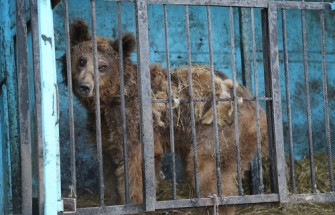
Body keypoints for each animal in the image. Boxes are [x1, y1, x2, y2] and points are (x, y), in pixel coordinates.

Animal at [61, 18, 270, 215]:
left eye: (103, 66)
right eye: (81, 60)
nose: (85, 86)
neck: (111, 99)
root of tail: (258, 108)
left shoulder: (133, 123)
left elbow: (135, 170)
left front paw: (136, 203)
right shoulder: (106, 130)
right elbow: (110, 170)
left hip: (221, 131)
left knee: (208, 171)